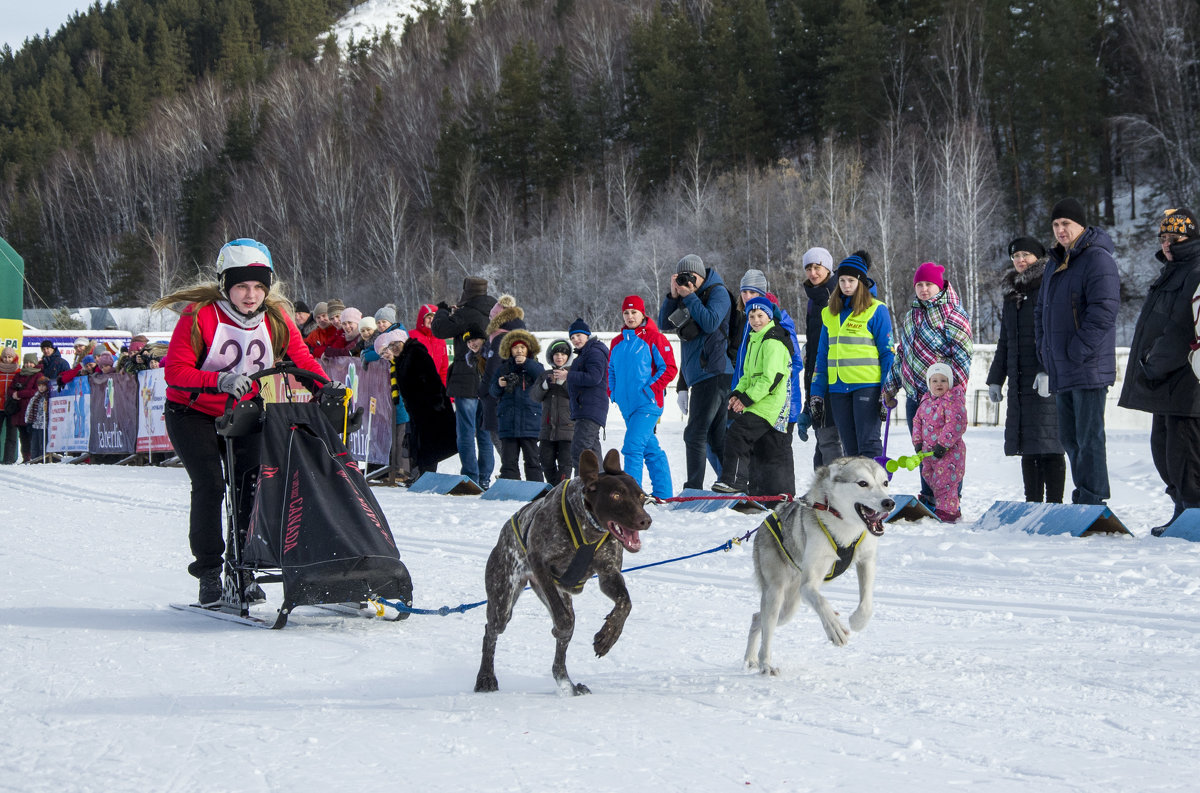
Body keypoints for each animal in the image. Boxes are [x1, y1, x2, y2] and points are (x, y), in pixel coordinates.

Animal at [472, 448, 652, 695]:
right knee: (491, 631)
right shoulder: (540, 566)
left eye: (641, 496)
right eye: (616, 495)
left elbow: (625, 604)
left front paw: (608, 635)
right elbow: (564, 622)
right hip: (503, 600)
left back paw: (568, 684)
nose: (646, 520)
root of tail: (504, 531)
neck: (588, 526)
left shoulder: (608, 574)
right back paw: (486, 677)